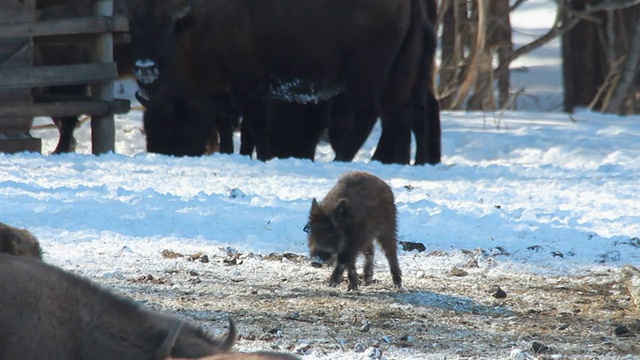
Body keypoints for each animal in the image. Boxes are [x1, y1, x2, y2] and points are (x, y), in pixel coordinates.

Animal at [121, 0, 440, 163]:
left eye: (170, 122)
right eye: (133, 26)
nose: (145, 67)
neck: (195, 24)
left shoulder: (247, 86)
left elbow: (256, 127)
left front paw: (265, 157)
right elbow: (237, 130)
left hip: (364, 75)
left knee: (369, 117)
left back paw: (344, 160)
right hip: (399, 73)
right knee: (399, 116)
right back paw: (387, 161)